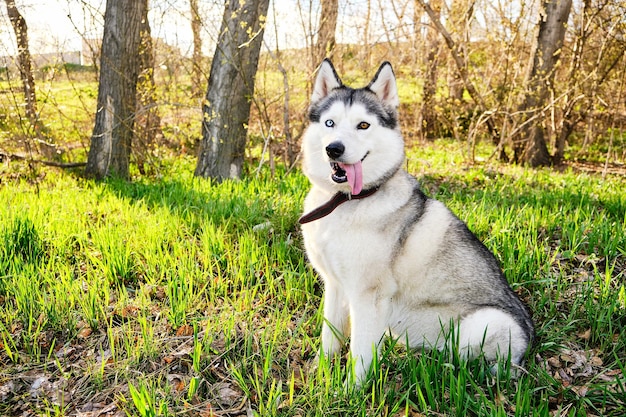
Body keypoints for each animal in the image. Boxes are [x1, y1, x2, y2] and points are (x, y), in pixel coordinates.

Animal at [298, 59, 532, 384]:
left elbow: (359, 353)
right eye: (329, 123)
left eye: (363, 125)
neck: (343, 202)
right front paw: (321, 374)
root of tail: (528, 344)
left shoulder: (367, 296)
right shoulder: (335, 285)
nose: (334, 148)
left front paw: (350, 389)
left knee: (466, 360)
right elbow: (330, 338)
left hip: (484, 323)